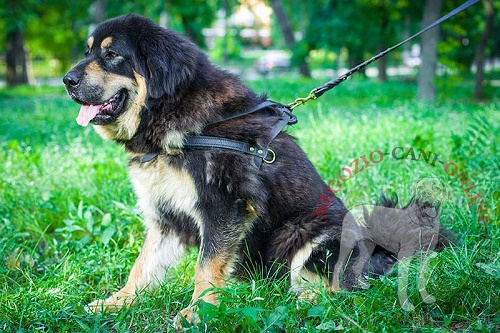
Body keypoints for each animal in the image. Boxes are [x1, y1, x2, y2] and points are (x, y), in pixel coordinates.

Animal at [63, 13, 394, 322]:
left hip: (308, 232)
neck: (173, 116)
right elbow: (143, 265)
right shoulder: (165, 216)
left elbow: (206, 267)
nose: (67, 80)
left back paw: (300, 302)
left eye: (112, 54)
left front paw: (198, 312)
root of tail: (381, 252)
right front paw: (119, 302)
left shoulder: (224, 206)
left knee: (339, 288)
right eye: (87, 51)